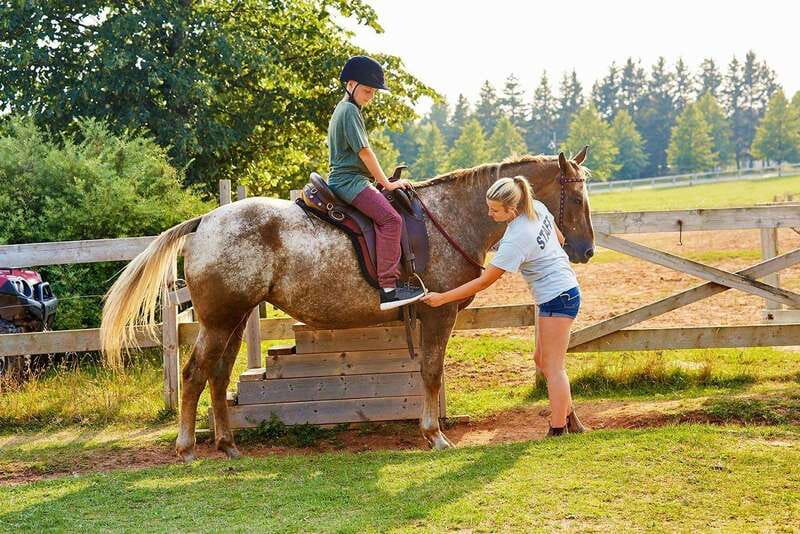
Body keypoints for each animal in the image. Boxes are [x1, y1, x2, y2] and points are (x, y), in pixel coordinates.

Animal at [100, 148, 594, 462]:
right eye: (575, 196)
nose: (586, 249)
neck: (449, 216)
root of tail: (205, 221)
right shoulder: (438, 314)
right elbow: (431, 371)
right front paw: (433, 435)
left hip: (234, 319)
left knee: (218, 376)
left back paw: (228, 445)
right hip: (221, 320)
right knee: (193, 374)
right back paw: (186, 448)